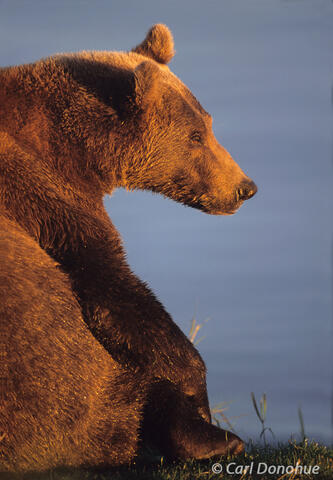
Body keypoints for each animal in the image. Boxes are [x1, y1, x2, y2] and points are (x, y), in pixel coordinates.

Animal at [0, 23, 255, 472]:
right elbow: (116, 293)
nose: (245, 187)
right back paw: (214, 440)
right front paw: (199, 395)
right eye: (195, 135)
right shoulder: (44, 198)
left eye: (209, 123)